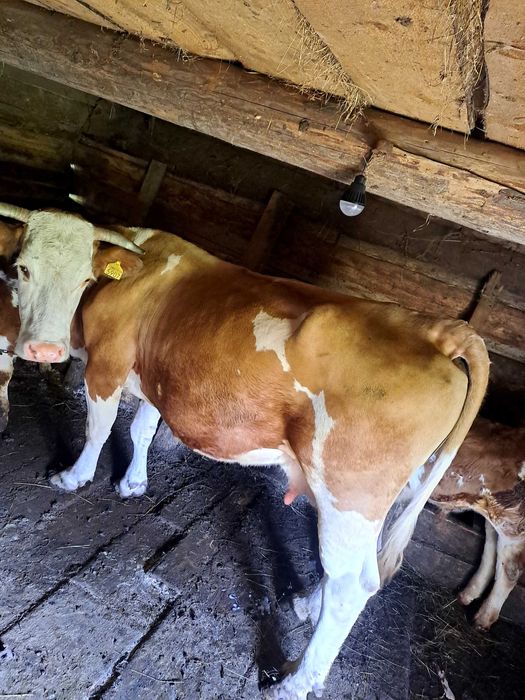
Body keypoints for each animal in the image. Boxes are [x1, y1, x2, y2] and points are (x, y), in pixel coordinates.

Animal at [0, 202, 489, 700]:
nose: (45, 349)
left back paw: (293, 683)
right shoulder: (158, 374)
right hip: (376, 502)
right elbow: (142, 429)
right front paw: (133, 482)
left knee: (351, 586)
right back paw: (306, 605)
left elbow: (99, 428)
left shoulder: (107, 361)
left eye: (83, 280)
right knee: (361, 571)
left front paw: (73, 477)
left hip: (349, 491)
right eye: (22, 268)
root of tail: (435, 328)